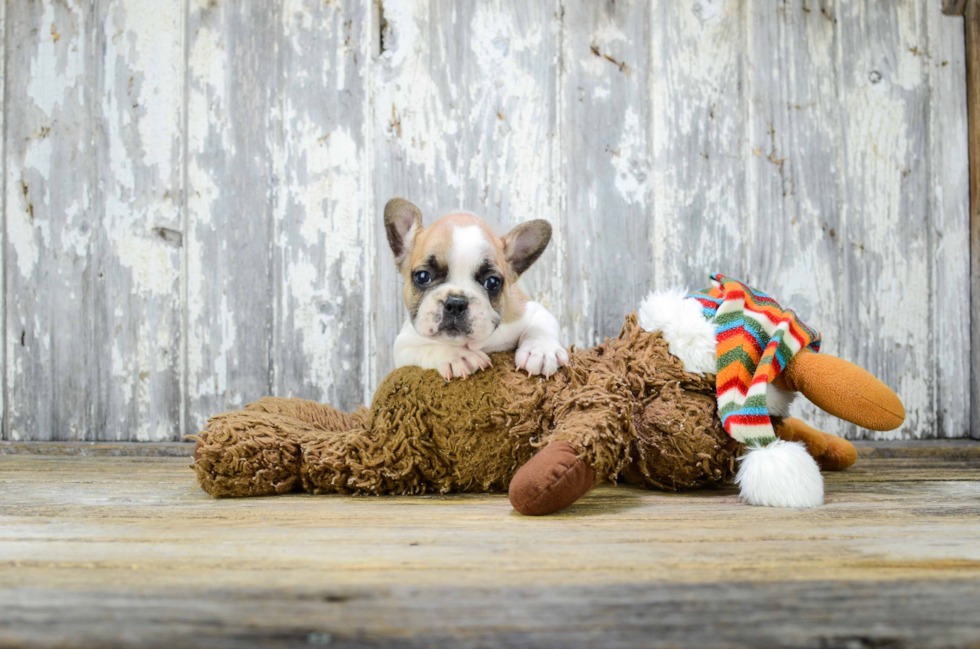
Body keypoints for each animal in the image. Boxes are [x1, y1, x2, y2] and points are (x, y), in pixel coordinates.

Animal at [382, 197, 568, 380]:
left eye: (492, 282)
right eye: (422, 276)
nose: (456, 303)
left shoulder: (529, 310)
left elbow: (540, 327)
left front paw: (541, 351)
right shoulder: (403, 348)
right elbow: (429, 348)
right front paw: (458, 356)